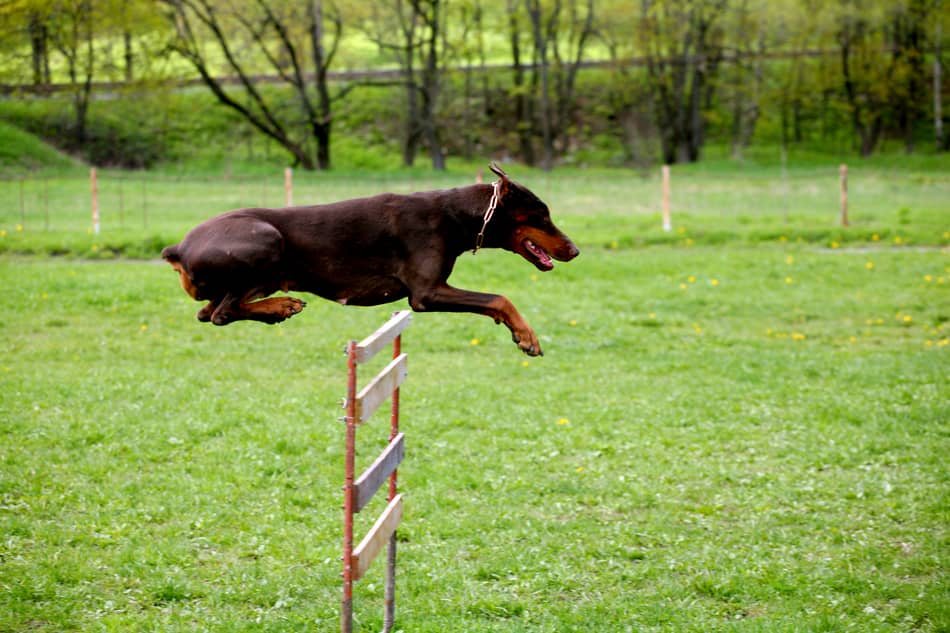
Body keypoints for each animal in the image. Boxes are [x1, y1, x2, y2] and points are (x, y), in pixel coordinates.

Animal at [162, 162, 580, 356]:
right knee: (221, 313)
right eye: (542, 216)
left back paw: (276, 308)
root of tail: (178, 248)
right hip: (266, 239)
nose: (574, 250)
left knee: (209, 312)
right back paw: (282, 306)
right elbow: (499, 298)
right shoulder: (426, 293)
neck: (454, 215)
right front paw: (526, 336)